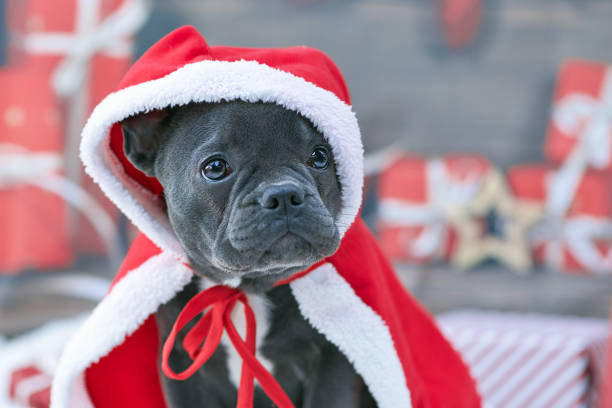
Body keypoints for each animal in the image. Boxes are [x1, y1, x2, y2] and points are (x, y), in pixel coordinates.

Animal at [120, 101, 378, 408]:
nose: (284, 194)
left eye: (320, 157)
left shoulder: (333, 362)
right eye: (215, 168)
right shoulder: (181, 365)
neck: (246, 288)